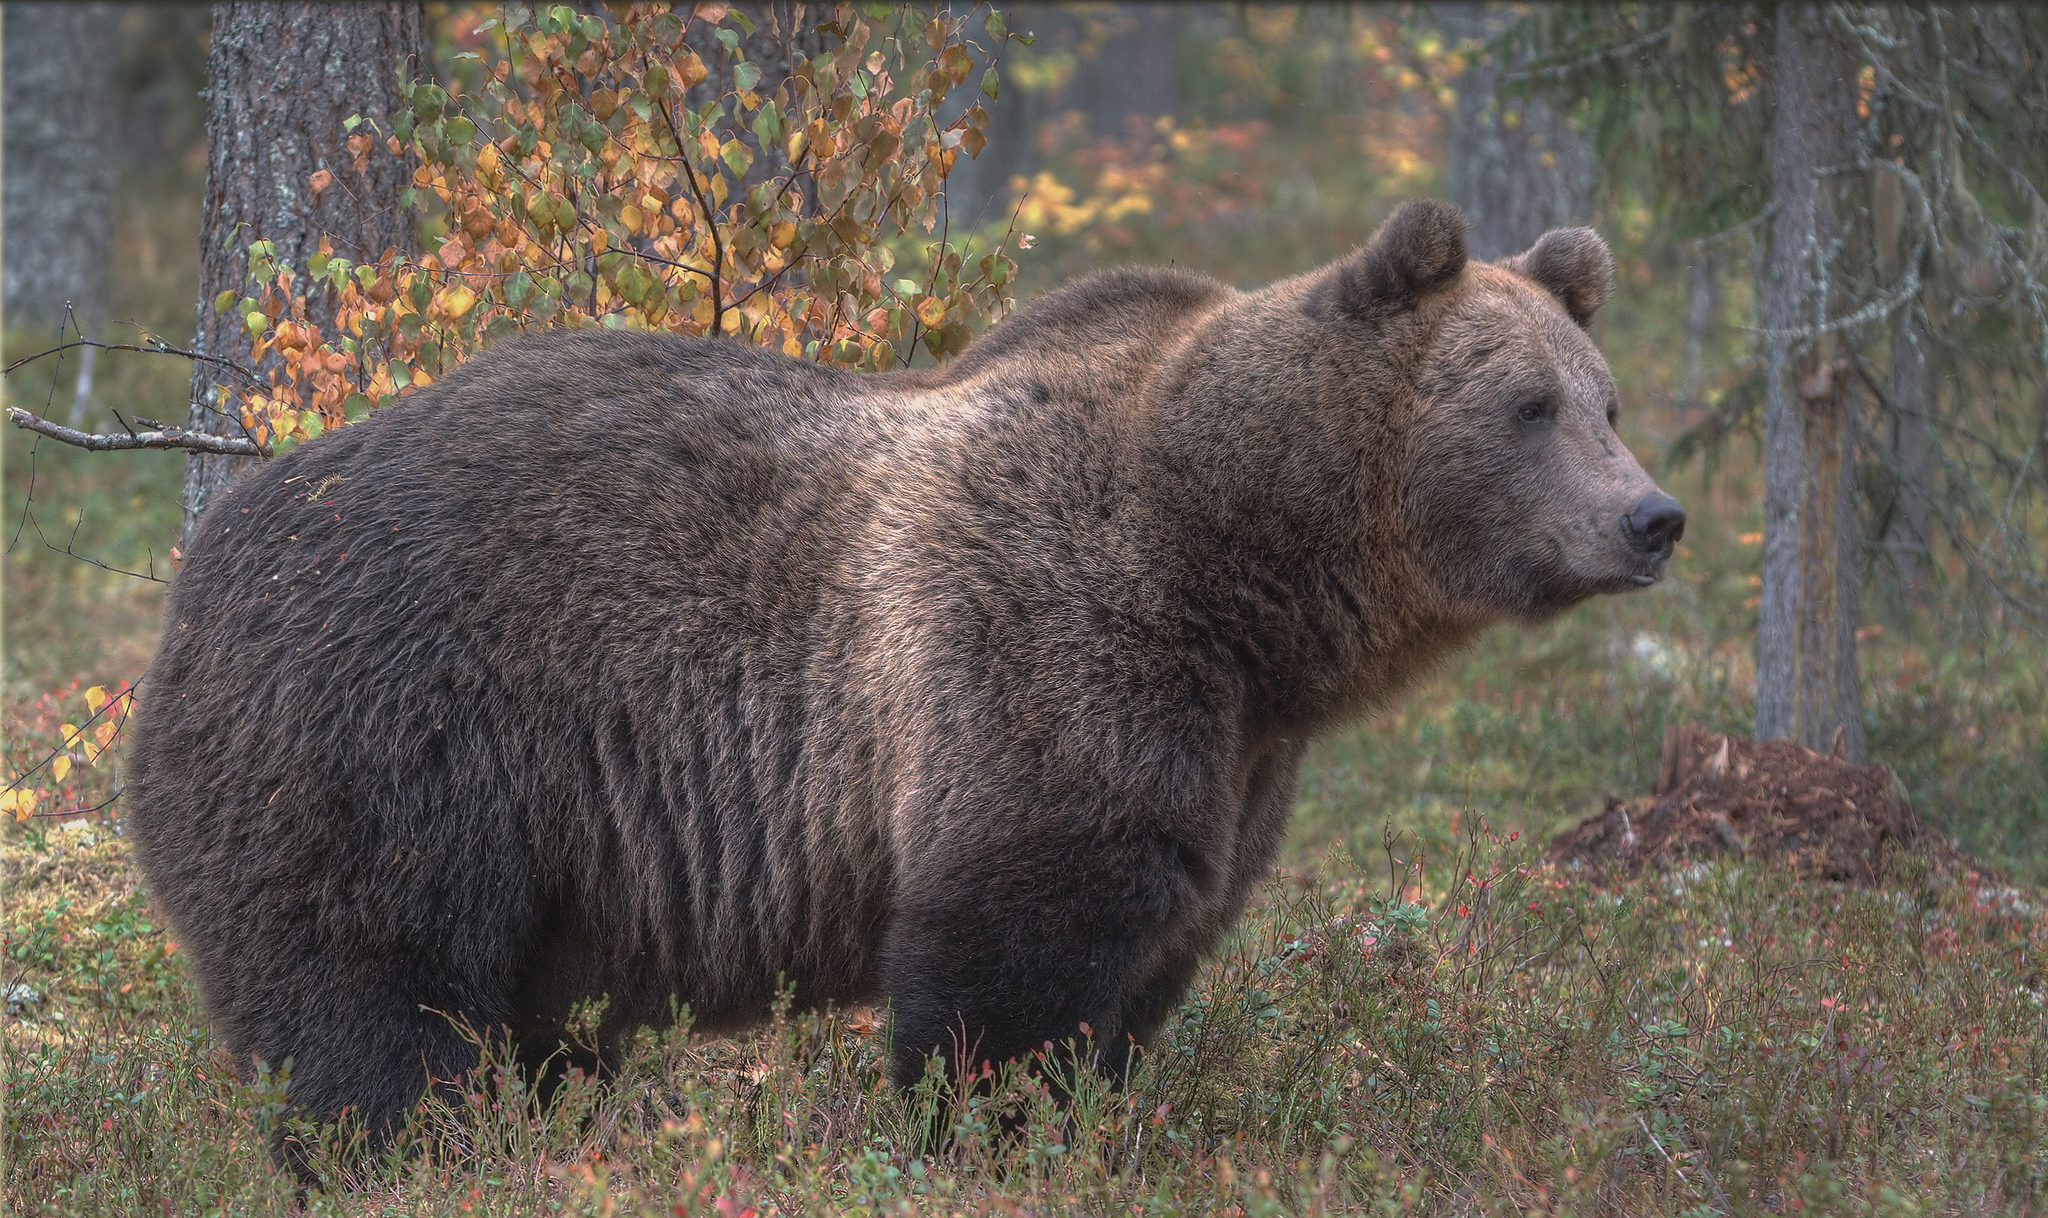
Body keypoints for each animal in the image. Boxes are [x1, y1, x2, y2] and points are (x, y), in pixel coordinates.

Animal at [123, 197, 1679, 1154]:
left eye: (1605, 399)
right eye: (1526, 406)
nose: (1651, 517)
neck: (1240, 577)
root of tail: (199, 571)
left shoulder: (1236, 751)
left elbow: (1153, 958)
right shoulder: (1045, 648)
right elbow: (1011, 957)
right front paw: (990, 1132)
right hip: (391, 736)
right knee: (374, 1010)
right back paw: (409, 1152)